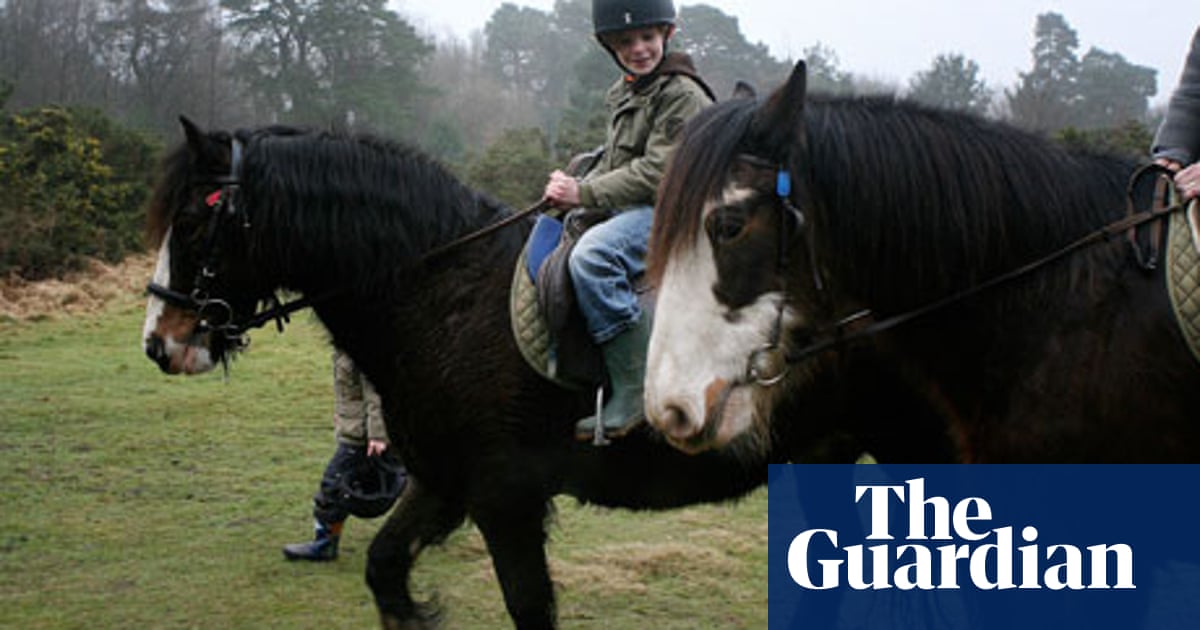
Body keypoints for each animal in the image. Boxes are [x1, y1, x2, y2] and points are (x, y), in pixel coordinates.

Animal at [138, 117, 955, 629]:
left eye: (193, 221)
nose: (159, 342)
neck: (442, 289)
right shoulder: (444, 482)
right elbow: (384, 571)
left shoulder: (505, 497)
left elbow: (528, 607)